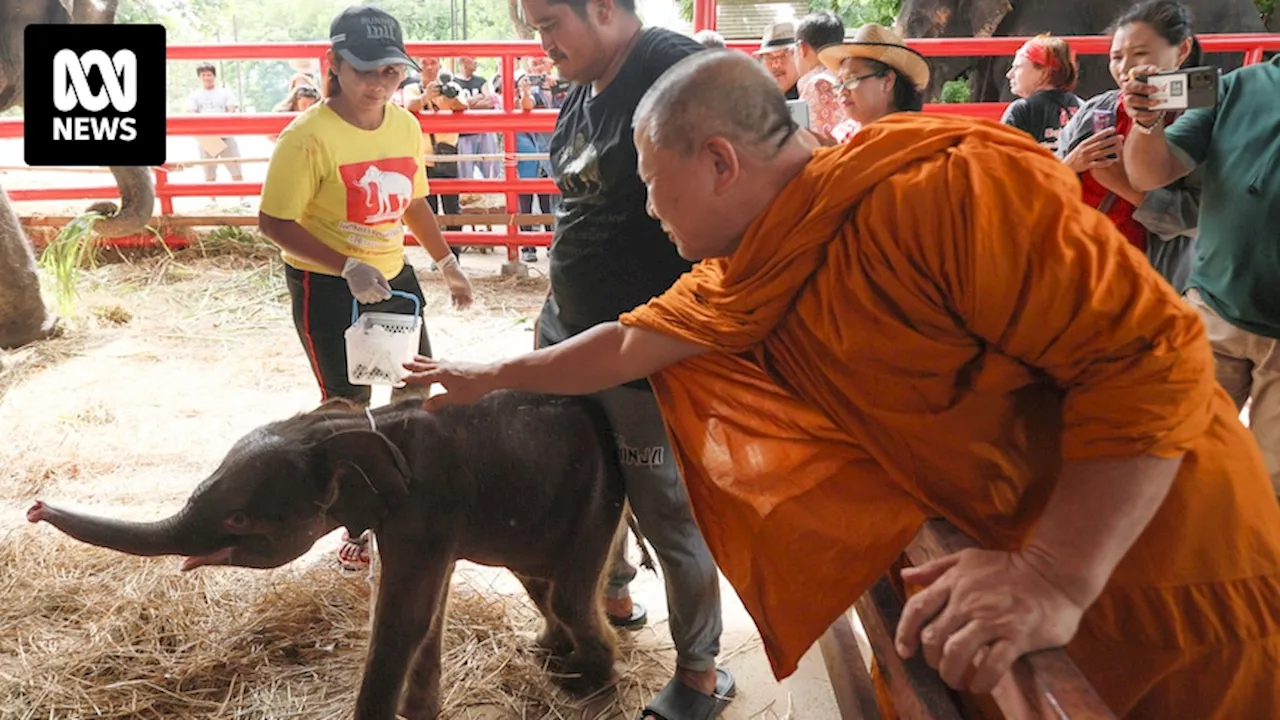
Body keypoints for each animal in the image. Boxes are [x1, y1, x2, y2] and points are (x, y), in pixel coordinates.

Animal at [27, 392, 627, 717]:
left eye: (239, 520)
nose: (34, 508)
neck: (346, 428)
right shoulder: (412, 519)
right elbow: (424, 611)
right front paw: (417, 713)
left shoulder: (426, 507)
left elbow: (403, 618)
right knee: (539, 582)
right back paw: (550, 655)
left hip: (597, 500)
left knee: (568, 593)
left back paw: (585, 682)